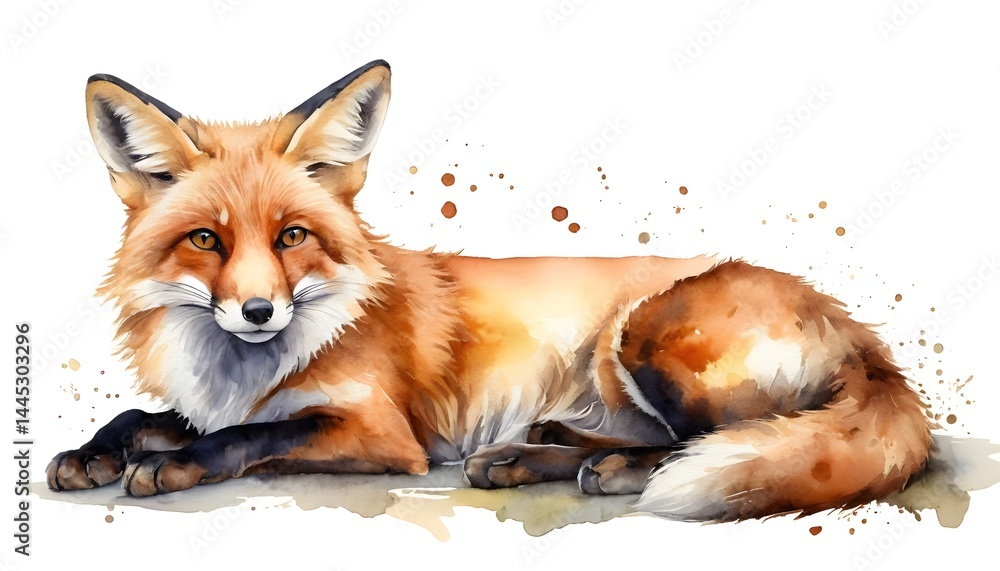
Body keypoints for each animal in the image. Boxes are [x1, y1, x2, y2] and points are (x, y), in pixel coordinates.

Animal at [46, 60, 931, 522]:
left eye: (292, 236)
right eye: (207, 239)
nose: (259, 310)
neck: (245, 368)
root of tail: (863, 336)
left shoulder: (382, 432)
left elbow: (246, 436)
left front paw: (172, 464)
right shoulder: (211, 401)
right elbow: (146, 417)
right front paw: (95, 453)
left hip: (643, 335)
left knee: (700, 440)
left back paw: (605, 468)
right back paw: (527, 452)